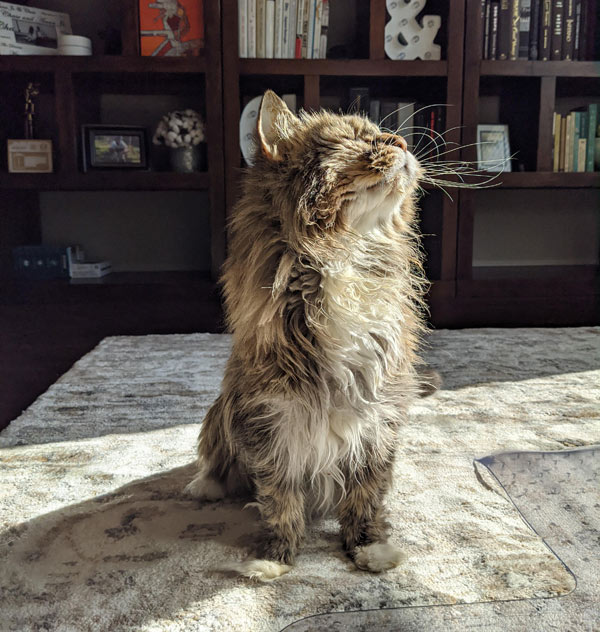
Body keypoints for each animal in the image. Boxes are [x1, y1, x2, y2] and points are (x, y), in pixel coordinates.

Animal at [185, 91, 434, 580]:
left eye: (384, 135)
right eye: (358, 140)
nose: (401, 141)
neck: (344, 258)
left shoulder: (377, 419)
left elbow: (365, 497)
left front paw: (368, 549)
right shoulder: (272, 419)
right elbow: (280, 501)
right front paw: (275, 558)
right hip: (220, 412)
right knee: (217, 460)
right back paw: (206, 486)